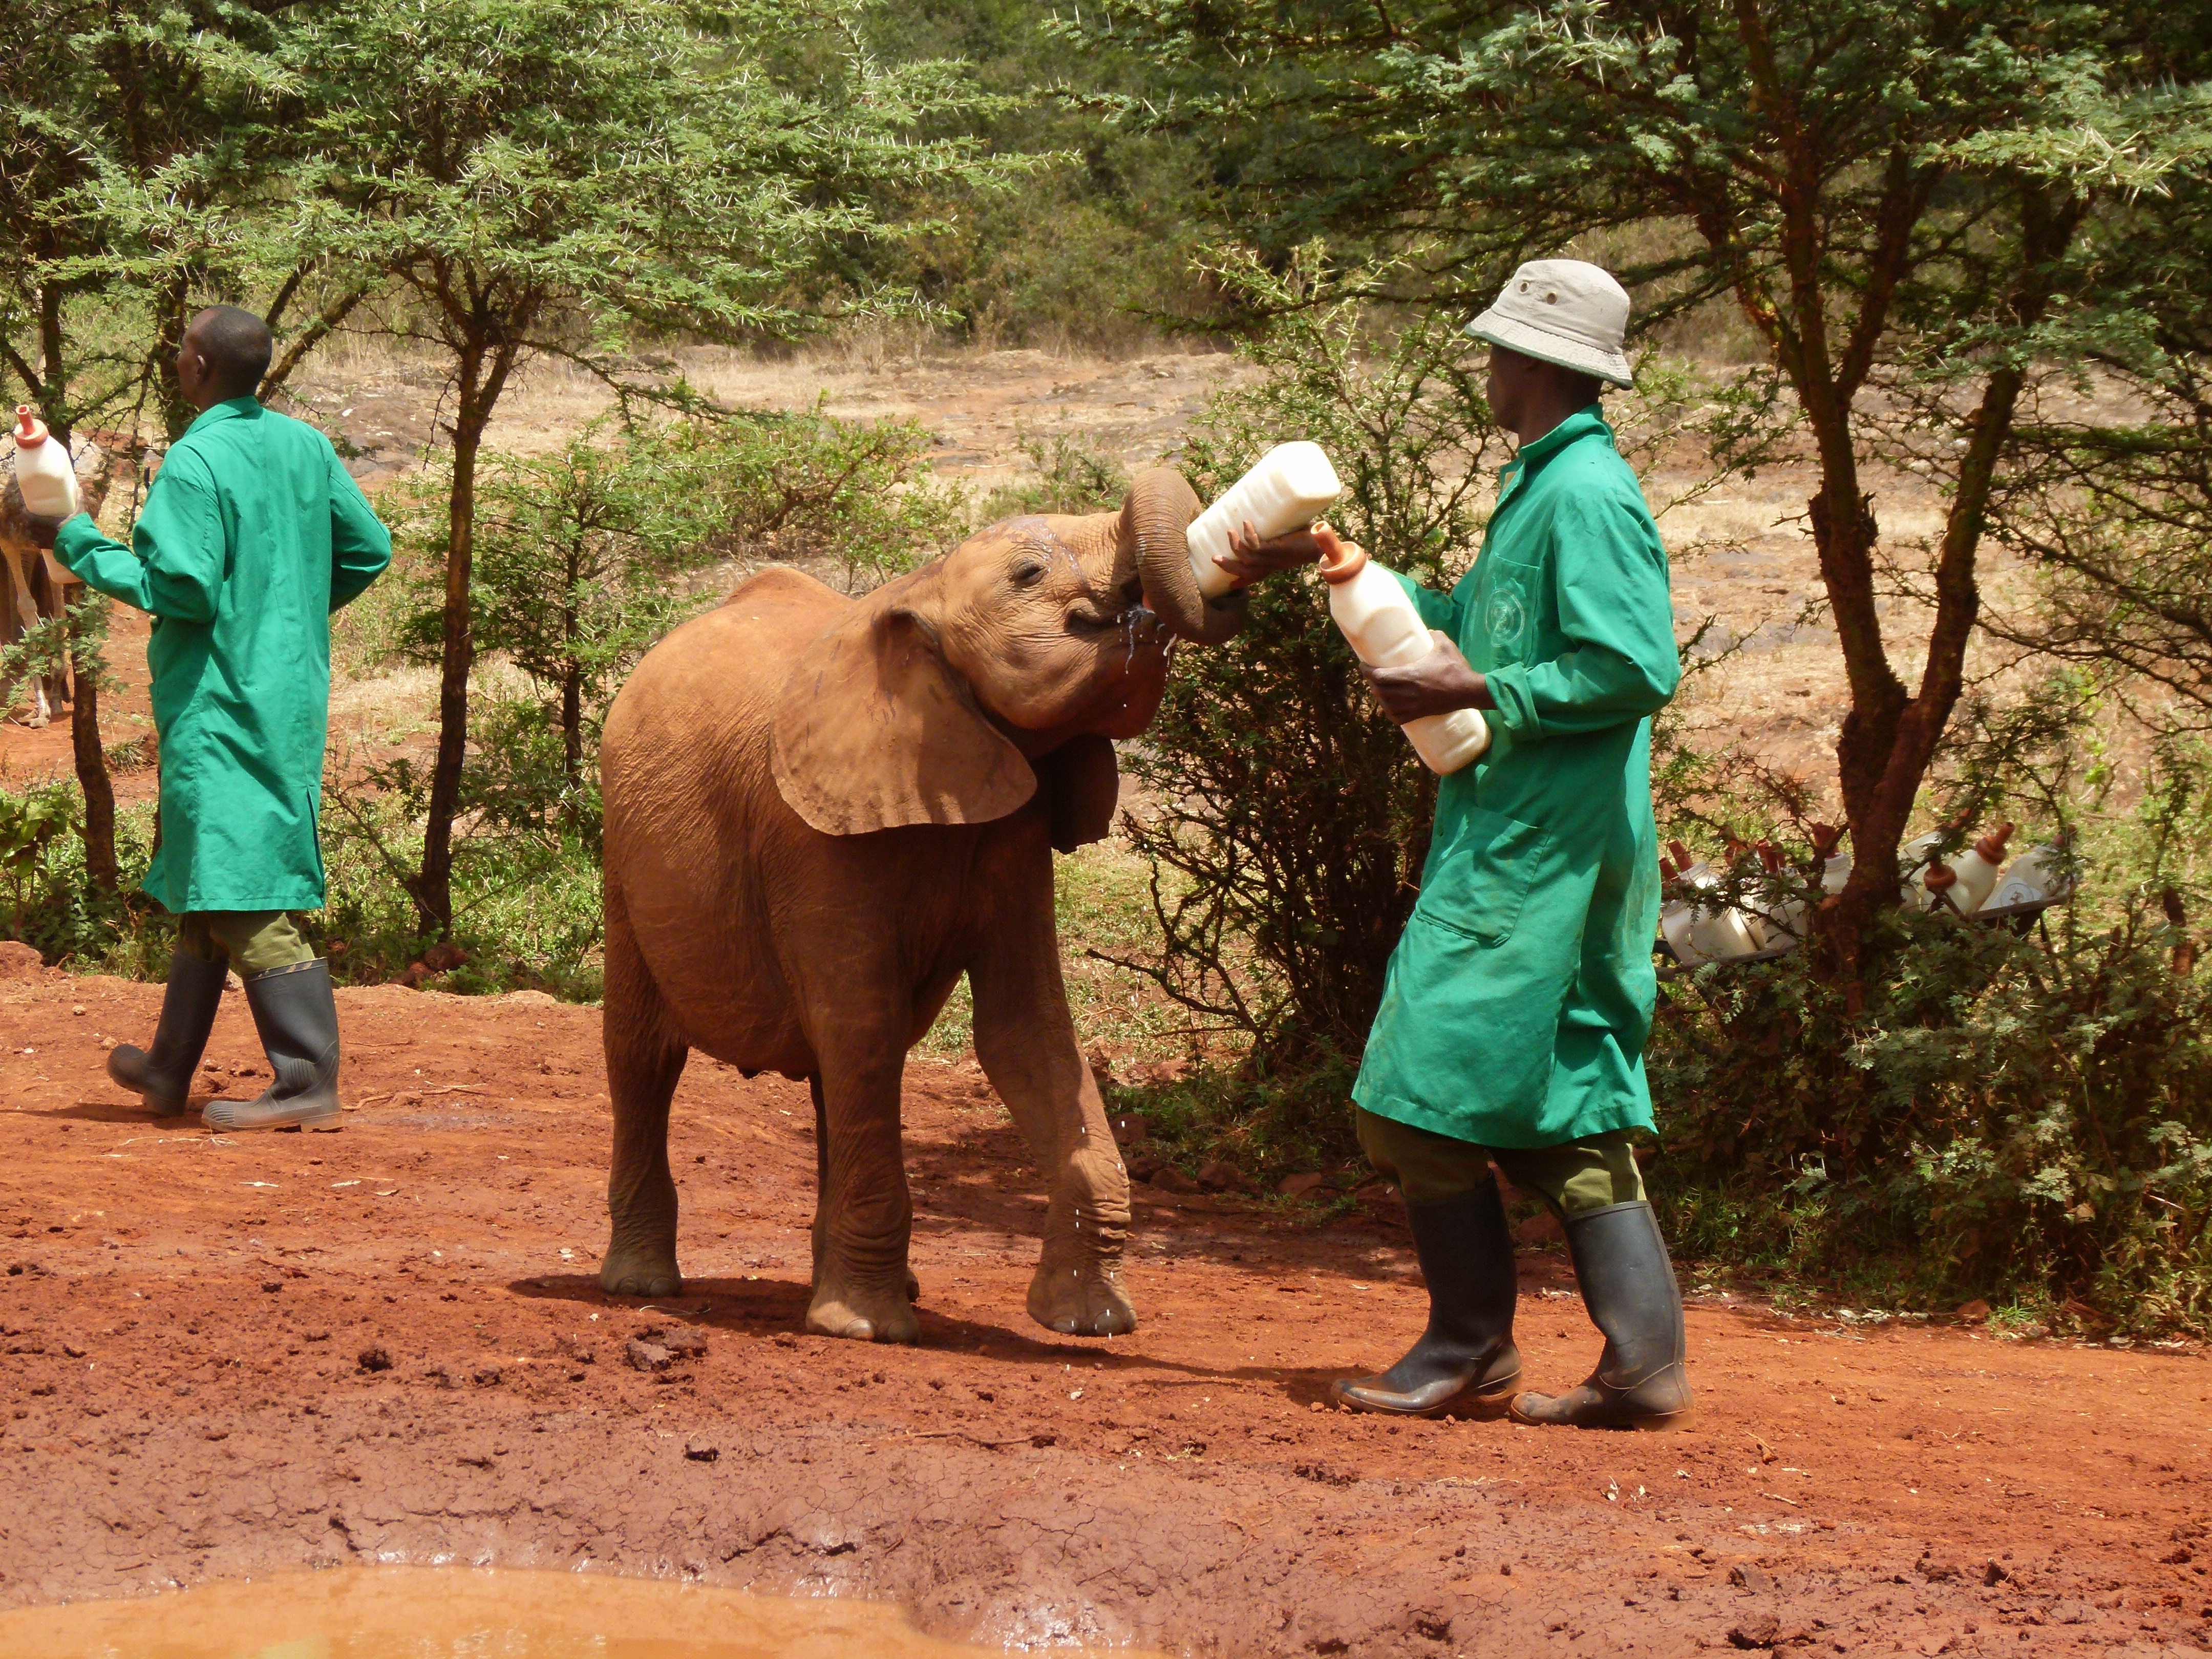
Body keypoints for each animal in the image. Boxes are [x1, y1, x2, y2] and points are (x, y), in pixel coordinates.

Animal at [596, 466, 1246, 1343]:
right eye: (1028, 575)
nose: (1149, 607)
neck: (921, 584)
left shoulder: (1015, 827)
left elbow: (1025, 1027)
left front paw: (1090, 1323)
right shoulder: (812, 837)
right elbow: (863, 1023)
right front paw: (867, 1332)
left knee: (832, 1075)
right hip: (624, 855)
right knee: (646, 1054)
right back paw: (642, 1286)